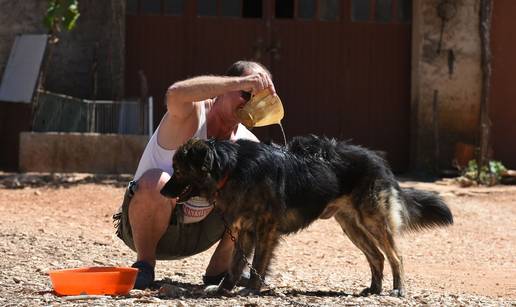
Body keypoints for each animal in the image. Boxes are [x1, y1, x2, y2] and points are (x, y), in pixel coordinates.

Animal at [160, 136, 452, 298]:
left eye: (179, 170)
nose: (162, 191)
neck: (231, 168)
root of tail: (379, 160)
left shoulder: (266, 228)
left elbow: (257, 263)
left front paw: (251, 289)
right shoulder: (243, 229)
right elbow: (235, 264)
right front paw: (224, 289)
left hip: (373, 220)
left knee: (396, 256)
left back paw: (398, 290)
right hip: (351, 226)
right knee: (377, 256)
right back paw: (374, 289)